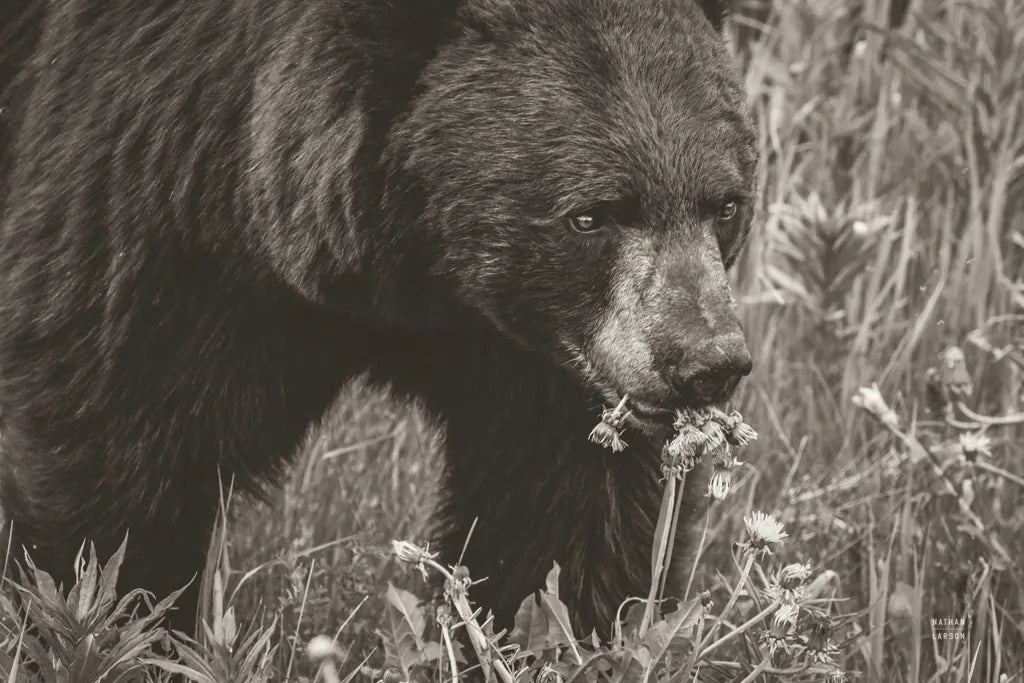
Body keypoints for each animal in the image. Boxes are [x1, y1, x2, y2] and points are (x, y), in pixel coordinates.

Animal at [0, 0, 757, 638]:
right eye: (591, 216)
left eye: (724, 204)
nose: (707, 362)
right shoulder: (157, 180)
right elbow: (122, 437)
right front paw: (113, 622)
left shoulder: (532, 345)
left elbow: (562, 497)